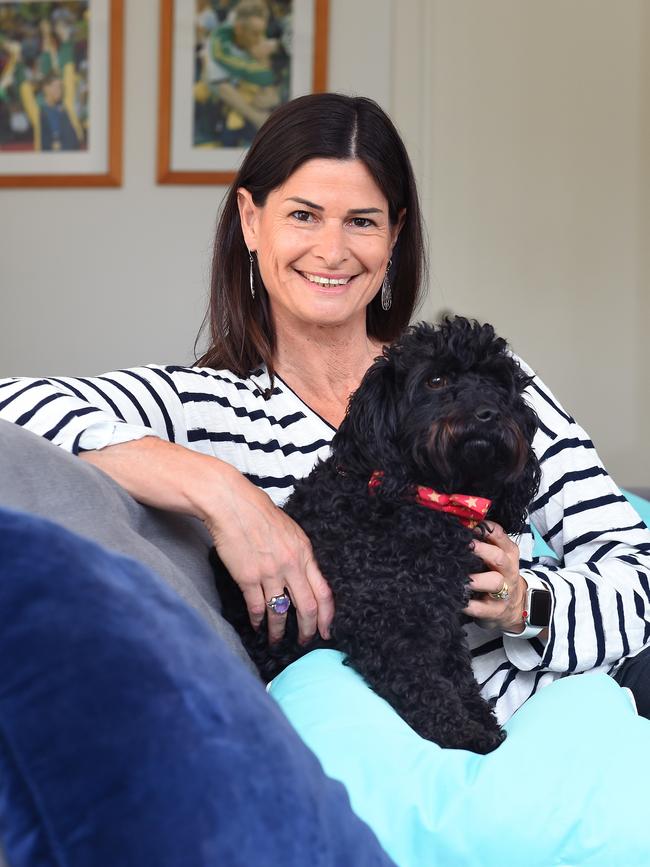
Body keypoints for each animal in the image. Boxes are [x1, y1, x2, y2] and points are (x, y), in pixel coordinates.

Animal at [213, 318, 536, 752]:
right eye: (435, 380)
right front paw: (466, 734)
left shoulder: (440, 619)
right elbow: (428, 686)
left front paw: (482, 721)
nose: (488, 414)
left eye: (499, 385)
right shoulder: (389, 625)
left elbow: (459, 676)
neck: (425, 501)